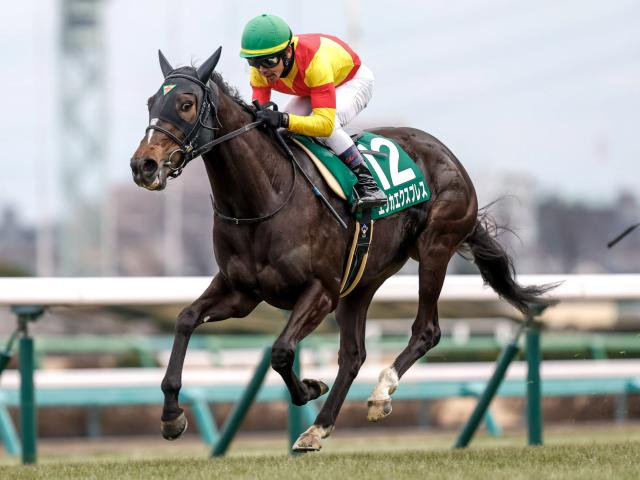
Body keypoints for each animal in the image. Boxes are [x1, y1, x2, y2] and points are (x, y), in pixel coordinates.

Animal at [130, 47, 554, 451]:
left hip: (434, 249)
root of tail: (449, 156)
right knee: (353, 355)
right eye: (151, 101)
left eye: (186, 103)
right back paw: (318, 428)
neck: (265, 197)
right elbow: (186, 319)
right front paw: (171, 416)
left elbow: (281, 350)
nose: (143, 165)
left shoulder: (321, 291)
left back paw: (381, 393)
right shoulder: (241, 292)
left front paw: (308, 388)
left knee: (426, 331)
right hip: (362, 280)